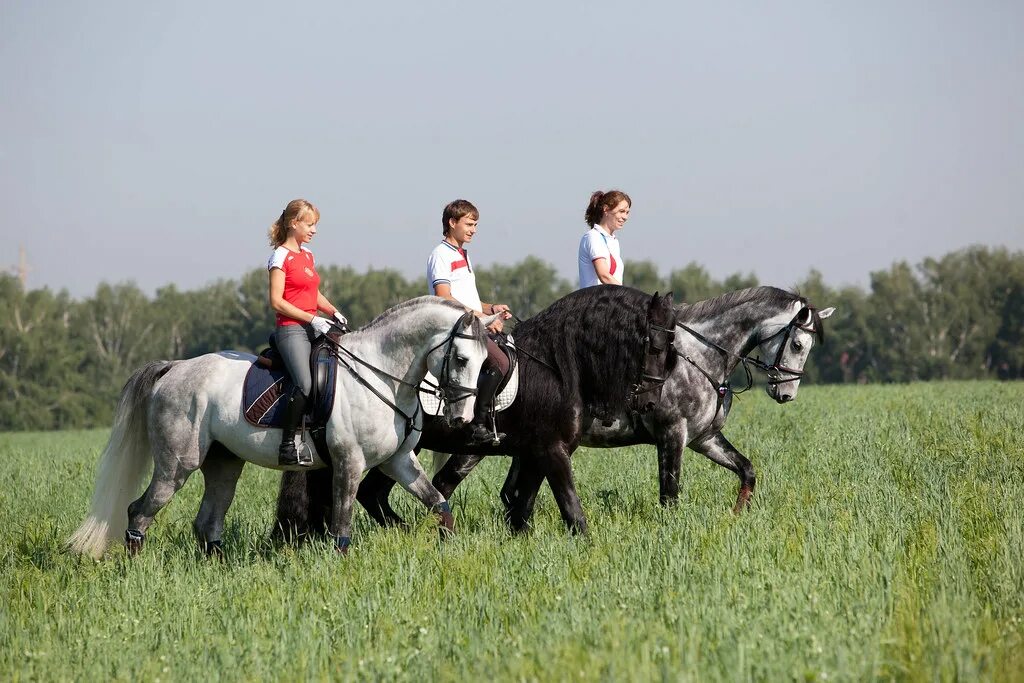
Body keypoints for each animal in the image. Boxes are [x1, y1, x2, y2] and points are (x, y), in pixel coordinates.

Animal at [70, 296, 497, 557]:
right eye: (461, 358)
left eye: (485, 362)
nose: (462, 420)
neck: (382, 375)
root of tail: (174, 368)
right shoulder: (349, 463)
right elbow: (341, 527)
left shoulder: (399, 461)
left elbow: (440, 505)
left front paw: (449, 549)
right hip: (177, 466)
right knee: (139, 511)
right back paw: (131, 568)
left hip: (224, 464)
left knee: (207, 522)